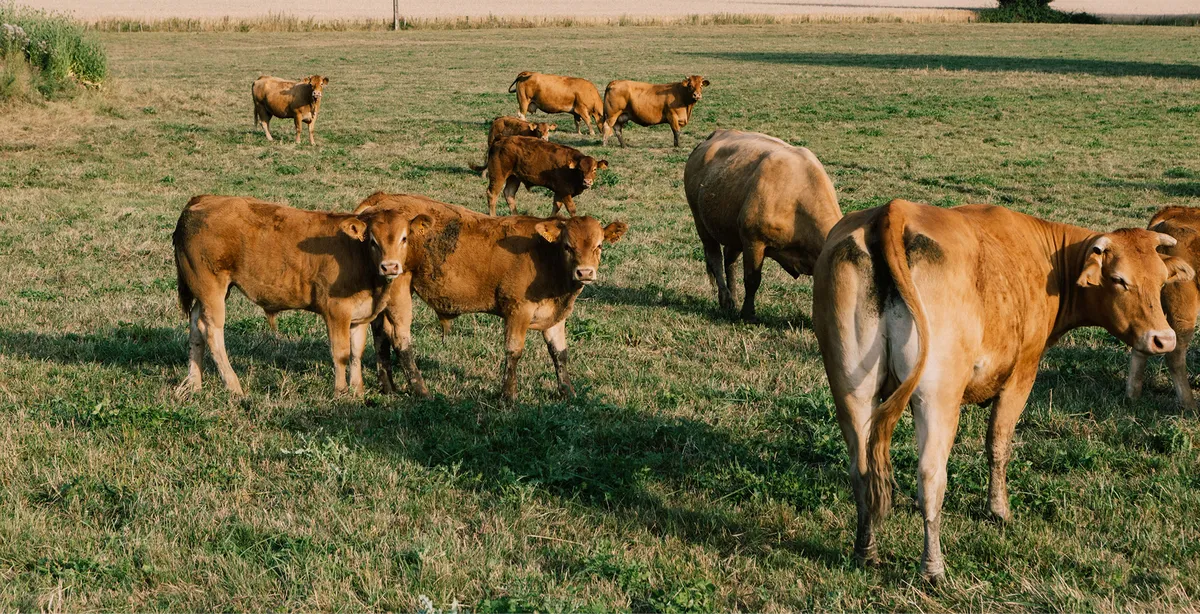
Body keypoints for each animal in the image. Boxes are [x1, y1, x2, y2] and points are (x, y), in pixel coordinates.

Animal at [172, 195, 431, 396]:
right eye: (373, 241)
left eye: (404, 238)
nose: (390, 267)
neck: (359, 257)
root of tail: (203, 200)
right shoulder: (336, 311)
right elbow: (341, 354)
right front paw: (341, 392)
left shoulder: (360, 315)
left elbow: (357, 353)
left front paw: (358, 391)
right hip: (211, 288)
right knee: (212, 331)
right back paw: (233, 386)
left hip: (208, 291)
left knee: (196, 325)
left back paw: (194, 383)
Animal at [351, 192, 628, 401]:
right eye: (568, 246)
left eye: (599, 246)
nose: (585, 272)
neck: (545, 256)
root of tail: (384, 198)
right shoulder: (518, 311)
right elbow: (514, 351)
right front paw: (508, 395)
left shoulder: (554, 316)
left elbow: (559, 353)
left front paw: (568, 392)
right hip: (399, 288)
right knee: (400, 338)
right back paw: (421, 390)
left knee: (380, 334)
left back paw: (389, 387)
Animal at [685, 129, 842, 321]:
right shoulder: (754, 241)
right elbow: (752, 280)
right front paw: (748, 314)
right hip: (701, 223)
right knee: (715, 259)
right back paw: (726, 300)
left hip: (733, 233)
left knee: (730, 260)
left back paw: (733, 298)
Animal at [813, 198, 1192, 583]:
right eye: (1118, 280)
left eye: (1161, 280)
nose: (1163, 339)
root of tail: (894, 211)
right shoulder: (1021, 375)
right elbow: (998, 446)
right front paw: (999, 510)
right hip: (937, 397)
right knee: (931, 476)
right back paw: (933, 567)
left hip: (852, 391)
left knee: (861, 470)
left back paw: (866, 551)